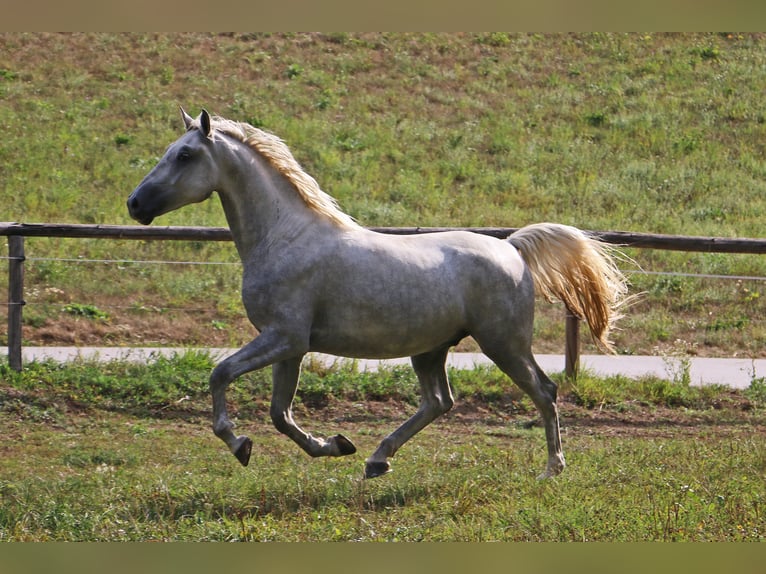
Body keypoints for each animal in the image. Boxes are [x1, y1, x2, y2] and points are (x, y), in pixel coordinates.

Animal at [127, 109, 632, 482]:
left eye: (185, 154)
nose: (135, 204)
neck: (284, 237)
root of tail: (511, 247)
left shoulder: (283, 338)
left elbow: (221, 375)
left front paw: (239, 444)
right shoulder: (290, 345)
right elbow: (280, 414)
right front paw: (334, 445)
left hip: (503, 343)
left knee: (543, 392)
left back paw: (551, 469)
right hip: (431, 349)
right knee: (439, 402)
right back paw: (376, 459)